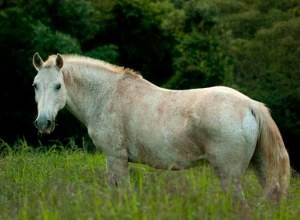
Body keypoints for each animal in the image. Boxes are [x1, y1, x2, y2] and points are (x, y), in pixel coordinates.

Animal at [31, 52, 290, 203]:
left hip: (229, 175)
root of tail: (251, 105)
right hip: (259, 168)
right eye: (35, 85)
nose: (43, 123)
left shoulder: (116, 158)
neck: (106, 95)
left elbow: (122, 193)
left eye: (57, 86)